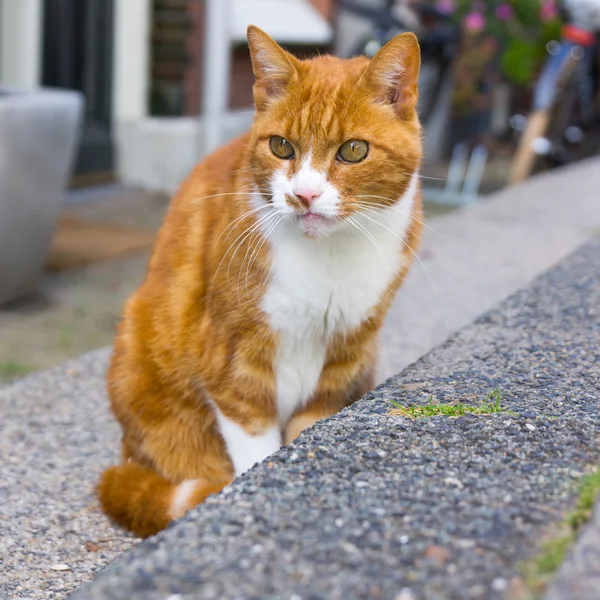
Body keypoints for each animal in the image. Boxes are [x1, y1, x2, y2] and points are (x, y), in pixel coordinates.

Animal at [98, 24, 424, 540]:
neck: (327, 257)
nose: (304, 194)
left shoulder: (346, 356)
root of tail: (125, 454)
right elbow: (255, 442)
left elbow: (310, 424)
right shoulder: (233, 362)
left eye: (353, 150)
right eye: (282, 147)